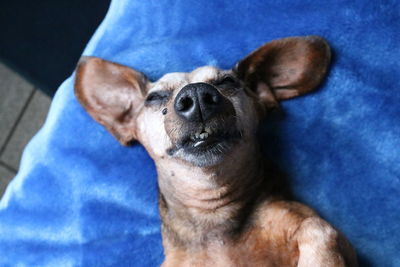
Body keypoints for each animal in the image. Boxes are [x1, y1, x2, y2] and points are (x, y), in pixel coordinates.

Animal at [74, 36, 356, 267]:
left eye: (228, 81)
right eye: (154, 97)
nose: (197, 95)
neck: (213, 211)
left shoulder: (318, 229)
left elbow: (316, 229)